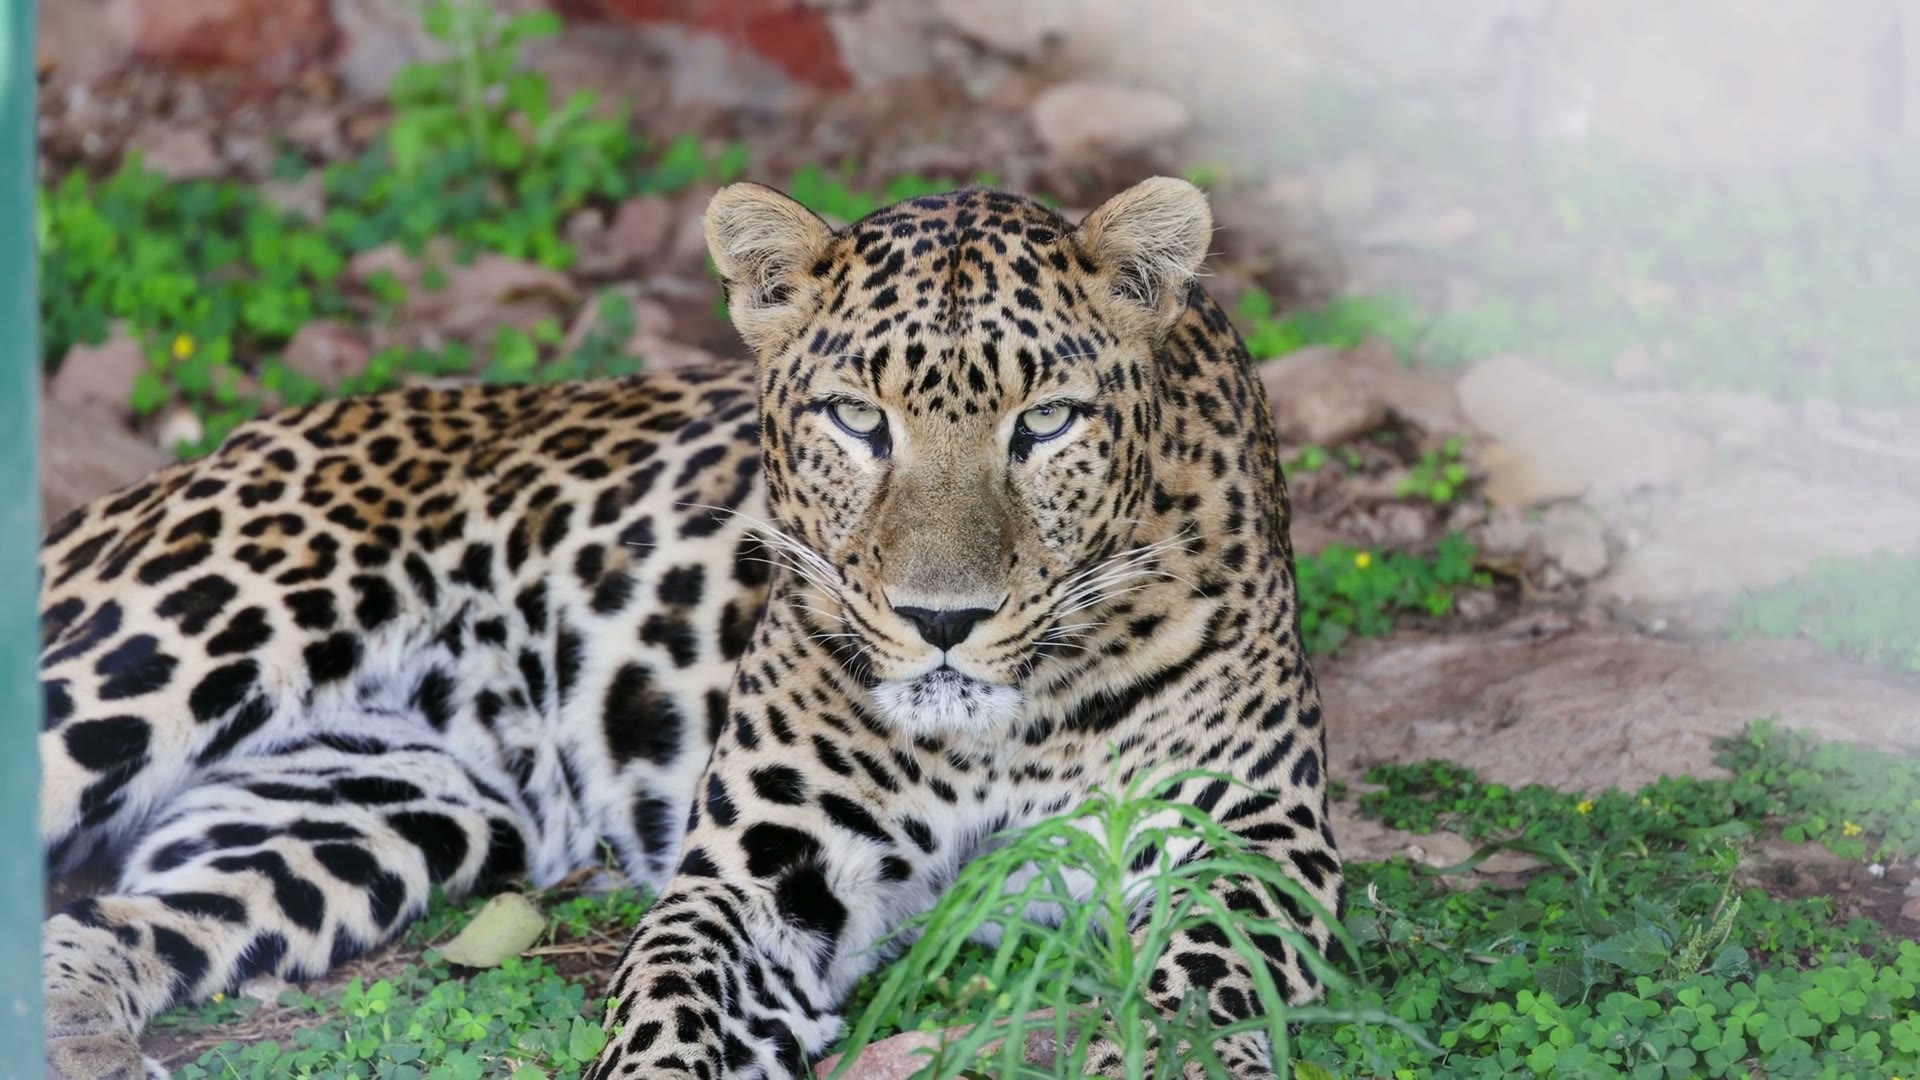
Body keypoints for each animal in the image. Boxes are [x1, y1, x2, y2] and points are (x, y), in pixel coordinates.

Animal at [36, 176, 1342, 1080]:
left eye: (1050, 421)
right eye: (857, 420)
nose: (941, 620)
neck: (1000, 733)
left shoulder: (1247, 842)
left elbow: (1198, 985)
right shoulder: (758, 874)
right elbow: (673, 993)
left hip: (367, 812)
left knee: (103, 917)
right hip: (180, 630)